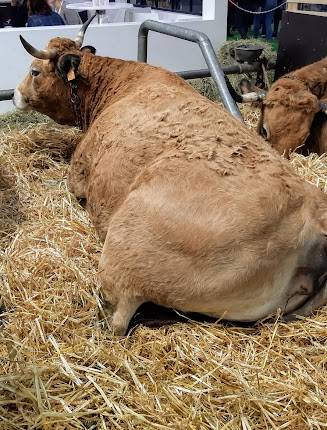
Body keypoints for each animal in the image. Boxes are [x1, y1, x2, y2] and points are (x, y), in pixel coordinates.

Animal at [13, 19, 327, 336]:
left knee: (118, 316)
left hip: (125, 257)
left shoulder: (79, 172)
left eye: (34, 71)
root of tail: (313, 218)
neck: (120, 84)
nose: (15, 94)